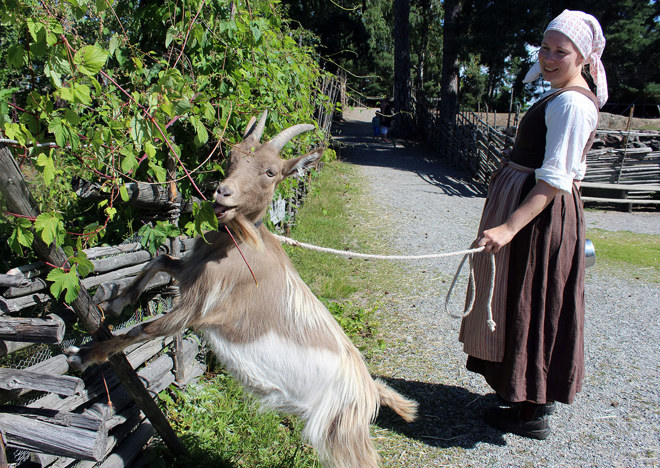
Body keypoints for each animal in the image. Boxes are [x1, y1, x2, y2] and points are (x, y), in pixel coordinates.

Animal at [67, 113, 418, 468]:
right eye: (231, 157)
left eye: (271, 171)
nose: (223, 193)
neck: (239, 247)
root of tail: (370, 389)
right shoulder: (191, 275)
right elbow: (160, 260)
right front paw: (116, 300)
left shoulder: (198, 309)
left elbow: (143, 330)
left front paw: (82, 356)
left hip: (342, 436)